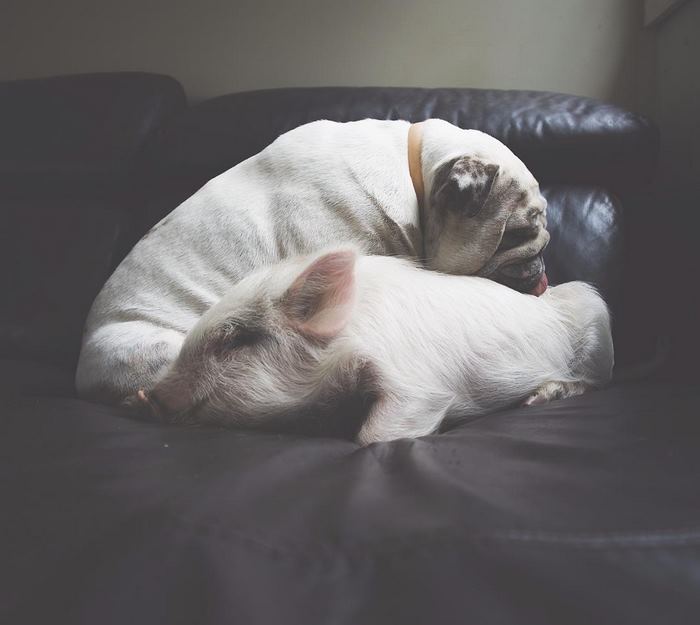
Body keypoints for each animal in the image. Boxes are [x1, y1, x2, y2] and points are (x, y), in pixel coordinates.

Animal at [131, 248, 613, 445]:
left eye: (238, 338)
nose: (146, 396)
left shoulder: (417, 384)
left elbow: (373, 437)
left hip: (596, 322)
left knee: (593, 382)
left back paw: (539, 398)